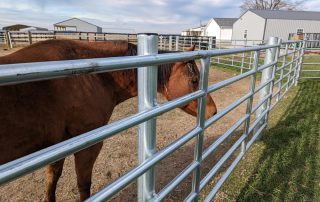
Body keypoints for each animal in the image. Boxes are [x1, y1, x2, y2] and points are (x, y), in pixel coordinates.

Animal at [0, 39, 218, 200]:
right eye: (194, 80)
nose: (213, 111)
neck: (90, 76)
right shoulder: (87, 145)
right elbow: (83, 185)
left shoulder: (58, 144)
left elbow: (52, 178)